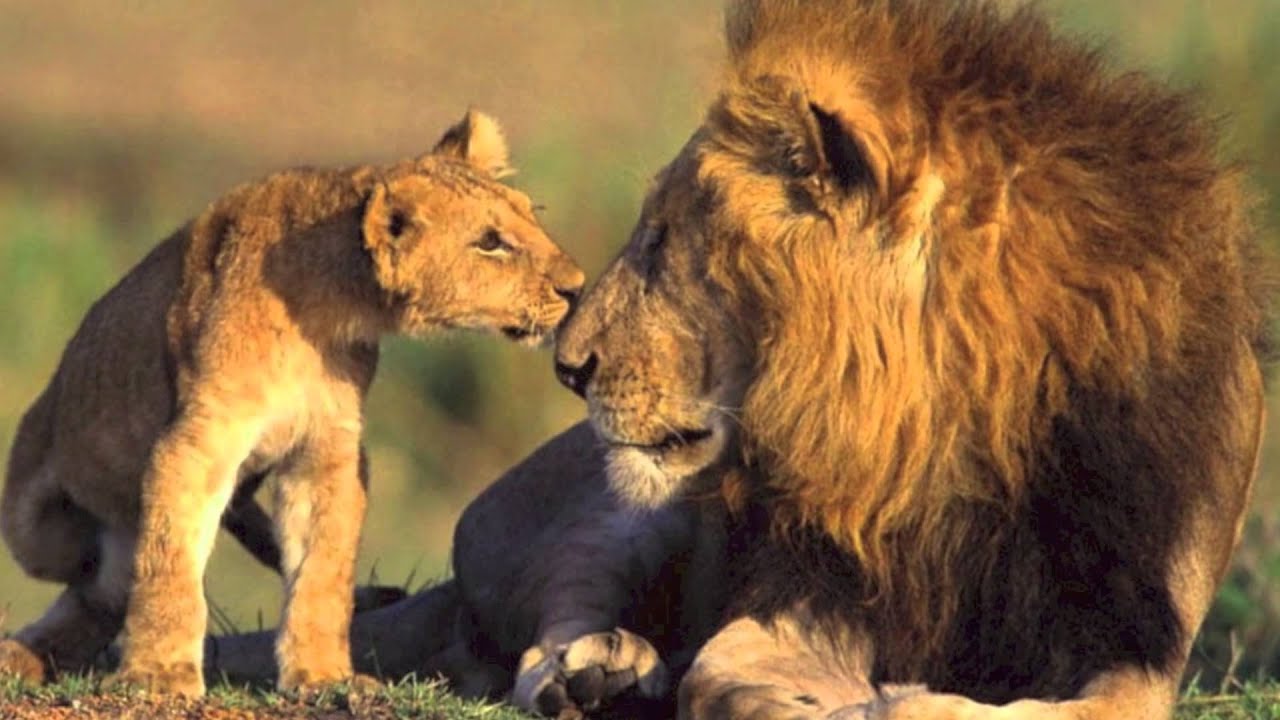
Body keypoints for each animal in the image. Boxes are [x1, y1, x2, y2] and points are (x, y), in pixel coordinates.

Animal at [0, 109, 585, 698]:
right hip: (38, 529)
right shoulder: (197, 442)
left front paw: (322, 676)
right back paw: (23, 653)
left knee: (104, 593)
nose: (578, 287)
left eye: (532, 217)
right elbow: (170, 563)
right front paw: (160, 674)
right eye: (490, 243)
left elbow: (321, 572)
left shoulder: (328, 450)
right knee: (92, 580)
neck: (327, 308)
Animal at [201, 2, 1273, 718]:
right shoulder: (798, 597)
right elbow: (723, 676)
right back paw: (601, 675)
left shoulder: (1139, 638)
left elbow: (1094, 703)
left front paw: (907, 700)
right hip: (617, 506)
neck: (949, 435)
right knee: (552, 623)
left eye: (665, 242)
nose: (568, 367)